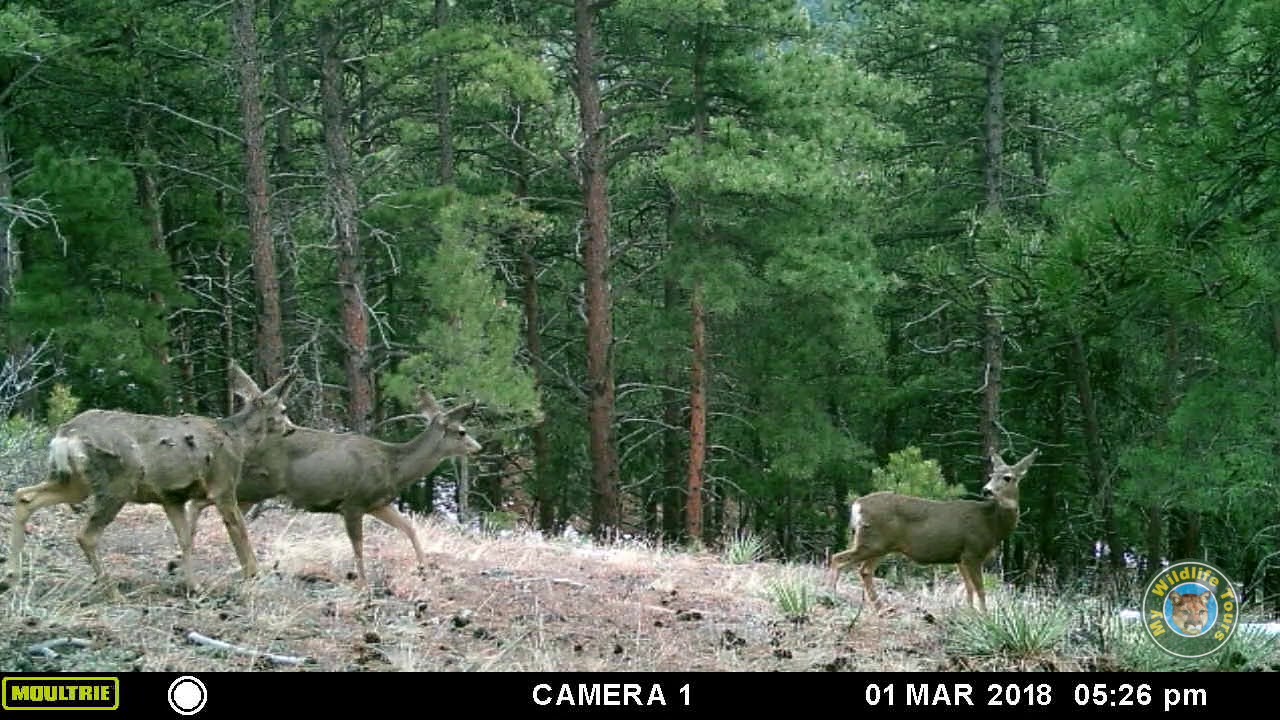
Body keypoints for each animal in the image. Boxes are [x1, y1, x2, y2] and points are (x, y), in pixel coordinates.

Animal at [4, 362, 296, 599]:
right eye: (283, 409)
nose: (291, 428)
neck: (237, 439)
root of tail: (65, 436)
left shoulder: (172, 497)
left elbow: (186, 538)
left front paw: (192, 586)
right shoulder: (223, 486)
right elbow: (240, 533)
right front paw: (254, 575)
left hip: (75, 482)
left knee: (25, 496)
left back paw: (11, 577)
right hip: (118, 482)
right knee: (85, 534)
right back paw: (112, 592)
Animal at [181, 390, 481, 585]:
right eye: (462, 431)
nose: (477, 448)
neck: (392, 465)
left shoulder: (377, 503)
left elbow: (409, 527)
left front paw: (424, 569)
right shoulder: (353, 502)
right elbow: (358, 545)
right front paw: (363, 583)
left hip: (251, 490)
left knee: (205, 505)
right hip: (253, 484)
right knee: (203, 502)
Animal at [828, 448, 1040, 614]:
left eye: (1007, 478)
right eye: (991, 476)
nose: (986, 490)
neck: (991, 524)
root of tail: (857, 504)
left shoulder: (960, 557)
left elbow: (969, 588)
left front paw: (969, 614)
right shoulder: (973, 551)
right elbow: (979, 589)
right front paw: (985, 617)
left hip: (879, 544)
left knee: (864, 570)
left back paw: (882, 608)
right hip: (873, 541)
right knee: (838, 558)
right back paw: (831, 595)